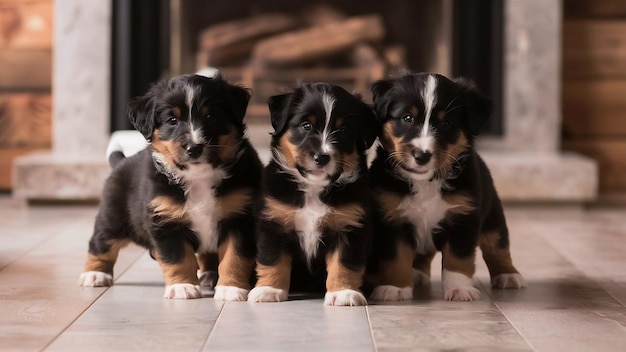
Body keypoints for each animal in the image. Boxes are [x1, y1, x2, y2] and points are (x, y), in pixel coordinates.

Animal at [78, 73, 260, 300]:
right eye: (172, 120)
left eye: (211, 116)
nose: (194, 148)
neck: (198, 176)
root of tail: (121, 161)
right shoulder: (167, 221)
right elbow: (178, 258)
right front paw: (183, 287)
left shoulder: (239, 218)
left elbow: (234, 257)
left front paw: (230, 289)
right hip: (112, 217)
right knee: (101, 243)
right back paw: (95, 274)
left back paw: (209, 275)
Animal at [247, 82, 376, 306]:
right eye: (306, 126)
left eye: (343, 131)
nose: (322, 157)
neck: (313, 188)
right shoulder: (273, 223)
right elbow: (271, 258)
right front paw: (268, 290)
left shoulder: (349, 226)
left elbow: (345, 263)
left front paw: (344, 293)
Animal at [366, 72, 520, 302]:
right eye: (407, 118)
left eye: (446, 122)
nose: (422, 156)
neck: (425, 182)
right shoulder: (392, 219)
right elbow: (396, 259)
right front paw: (395, 288)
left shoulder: (462, 218)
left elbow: (458, 260)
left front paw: (459, 289)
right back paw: (416, 274)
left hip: (493, 217)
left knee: (497, 247)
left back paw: (508, 276)